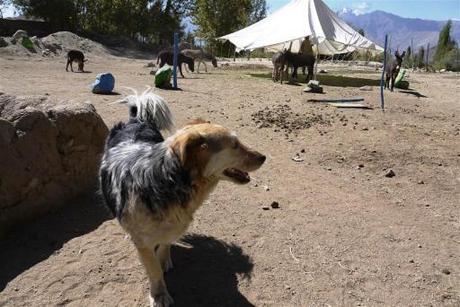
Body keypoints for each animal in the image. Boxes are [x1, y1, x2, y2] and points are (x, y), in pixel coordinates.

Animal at [99, 89, 266, 307]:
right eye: (235, 145)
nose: (264, 157)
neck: (167, 178)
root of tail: (136, 120)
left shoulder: (173, 225)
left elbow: (165, 246)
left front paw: (164, 260)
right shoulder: (144, 242)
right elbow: (154, 270)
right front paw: (159, 295)